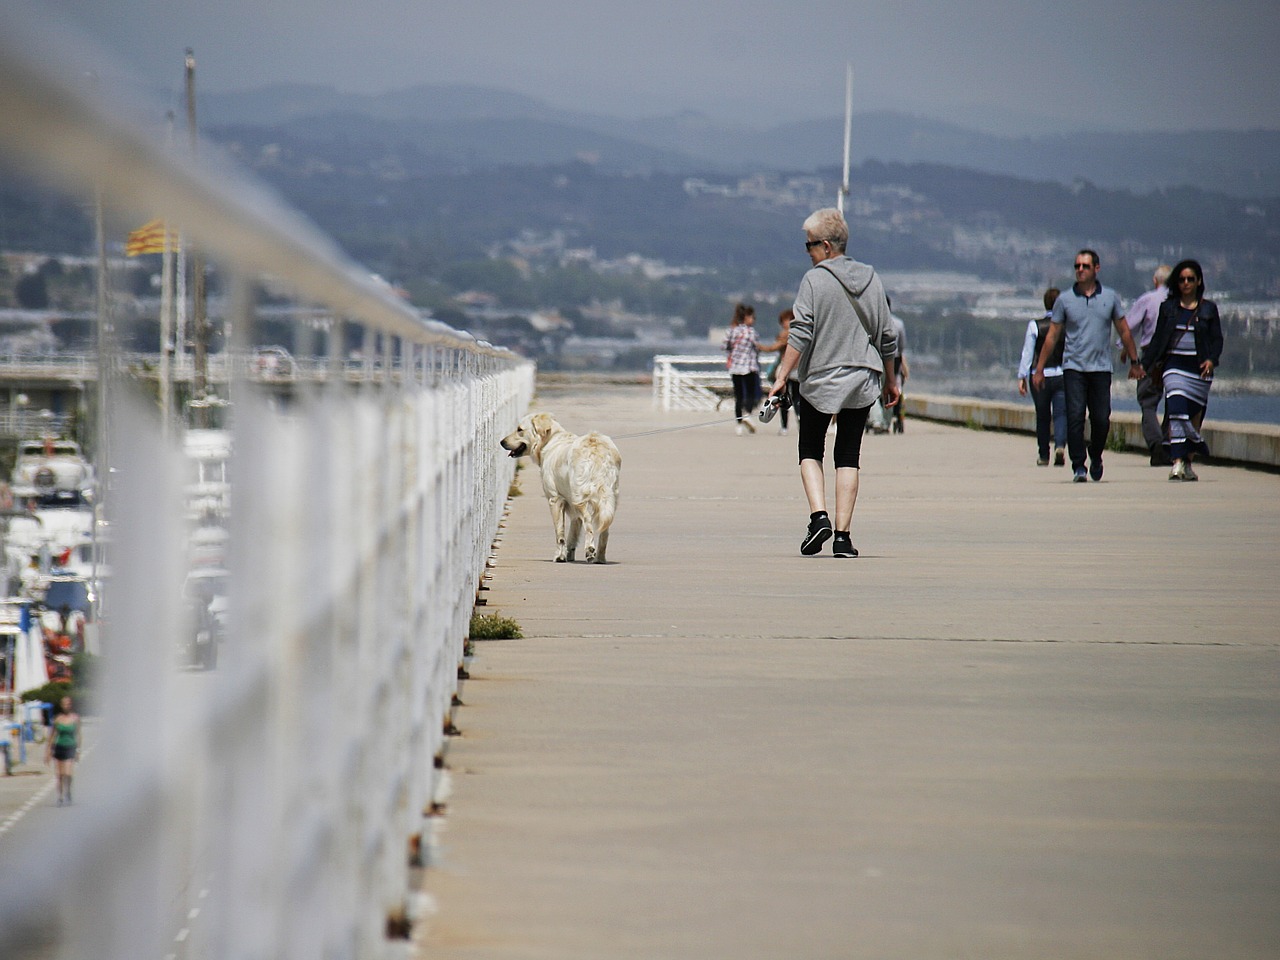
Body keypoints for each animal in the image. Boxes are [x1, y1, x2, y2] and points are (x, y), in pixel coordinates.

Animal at [499, 414, 619, 563]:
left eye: (519, 429)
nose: (501, 442)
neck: (551, 440)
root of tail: (596, 446)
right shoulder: (573, 510)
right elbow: (572, 535)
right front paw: (569, 555)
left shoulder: (554, 499)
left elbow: (560, 534)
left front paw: (560, 556)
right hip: (609, 498)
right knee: (605, 529)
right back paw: (600, 558)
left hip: (579, 498)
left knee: (588, 521)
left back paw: (590, 550)